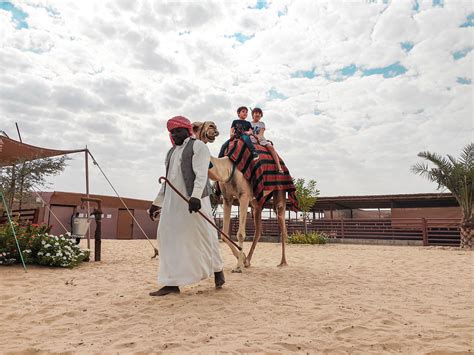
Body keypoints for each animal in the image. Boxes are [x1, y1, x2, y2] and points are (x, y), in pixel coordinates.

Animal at [193, 121, 288, 272]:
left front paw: (238, 267)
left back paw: (282, 262)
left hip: (280, 189)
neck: (227, 167)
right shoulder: (227, 198)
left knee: (281, 221)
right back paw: (248, 260)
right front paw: (242, 259)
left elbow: (241, 234)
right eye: (196, 126)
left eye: (210, 125)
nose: (212, 129)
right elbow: (224, 234)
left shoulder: (243, 196)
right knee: (258, 230)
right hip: (257, 201)